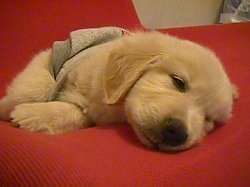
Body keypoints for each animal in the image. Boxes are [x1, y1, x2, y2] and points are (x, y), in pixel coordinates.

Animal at [0, 30, 236, 150]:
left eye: (209, 119)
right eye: (178, 82)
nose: (177, 134)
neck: (116, 108)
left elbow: (77, 114)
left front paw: (32, 115)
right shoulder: (54, 59)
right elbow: (34, 89)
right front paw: (12, 109)